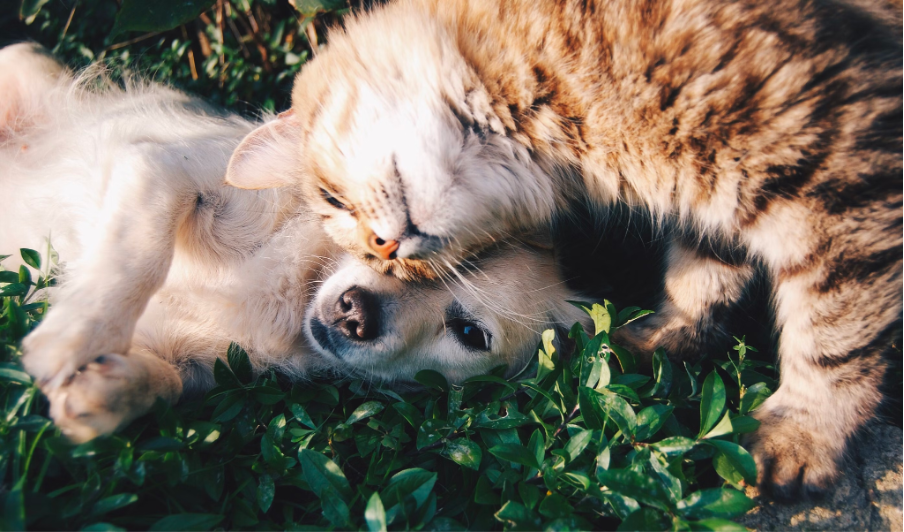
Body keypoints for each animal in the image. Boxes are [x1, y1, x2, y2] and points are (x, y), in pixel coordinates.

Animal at [0, 44, 588, 444]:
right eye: (385, 243)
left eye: (469, 334)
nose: (355, 313)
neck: (295, 289)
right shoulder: (162, 168)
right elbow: (136, 256)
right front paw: (73, 337)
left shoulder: (197, 364)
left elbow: (164, 383)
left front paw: (103, 393)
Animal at [226, 0, 904, 498]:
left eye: (331, 199)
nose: (386, 249)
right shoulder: (718, 201)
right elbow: (701, 278)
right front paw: (662, 338)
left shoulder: (839, 177)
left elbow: (835, 337)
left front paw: (803, 436)